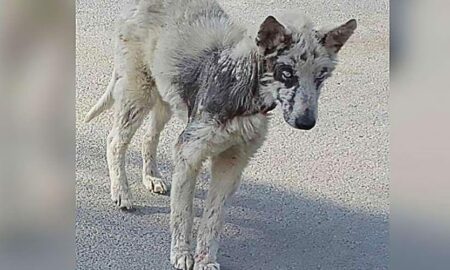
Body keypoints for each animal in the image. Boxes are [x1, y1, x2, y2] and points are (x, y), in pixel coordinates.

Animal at [85, 0, 356, 268]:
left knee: (149, 137)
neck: (241, 82)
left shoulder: (232, 163)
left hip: (165, 96)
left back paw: (151, 176)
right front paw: (182, 253)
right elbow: (183, 213)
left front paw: (205, 259)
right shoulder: (189, 153)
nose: (306, 123)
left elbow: (213, 219)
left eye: (321, 76)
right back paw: (121, 192)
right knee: (115, 141)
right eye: (287, 72)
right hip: (138, 92)